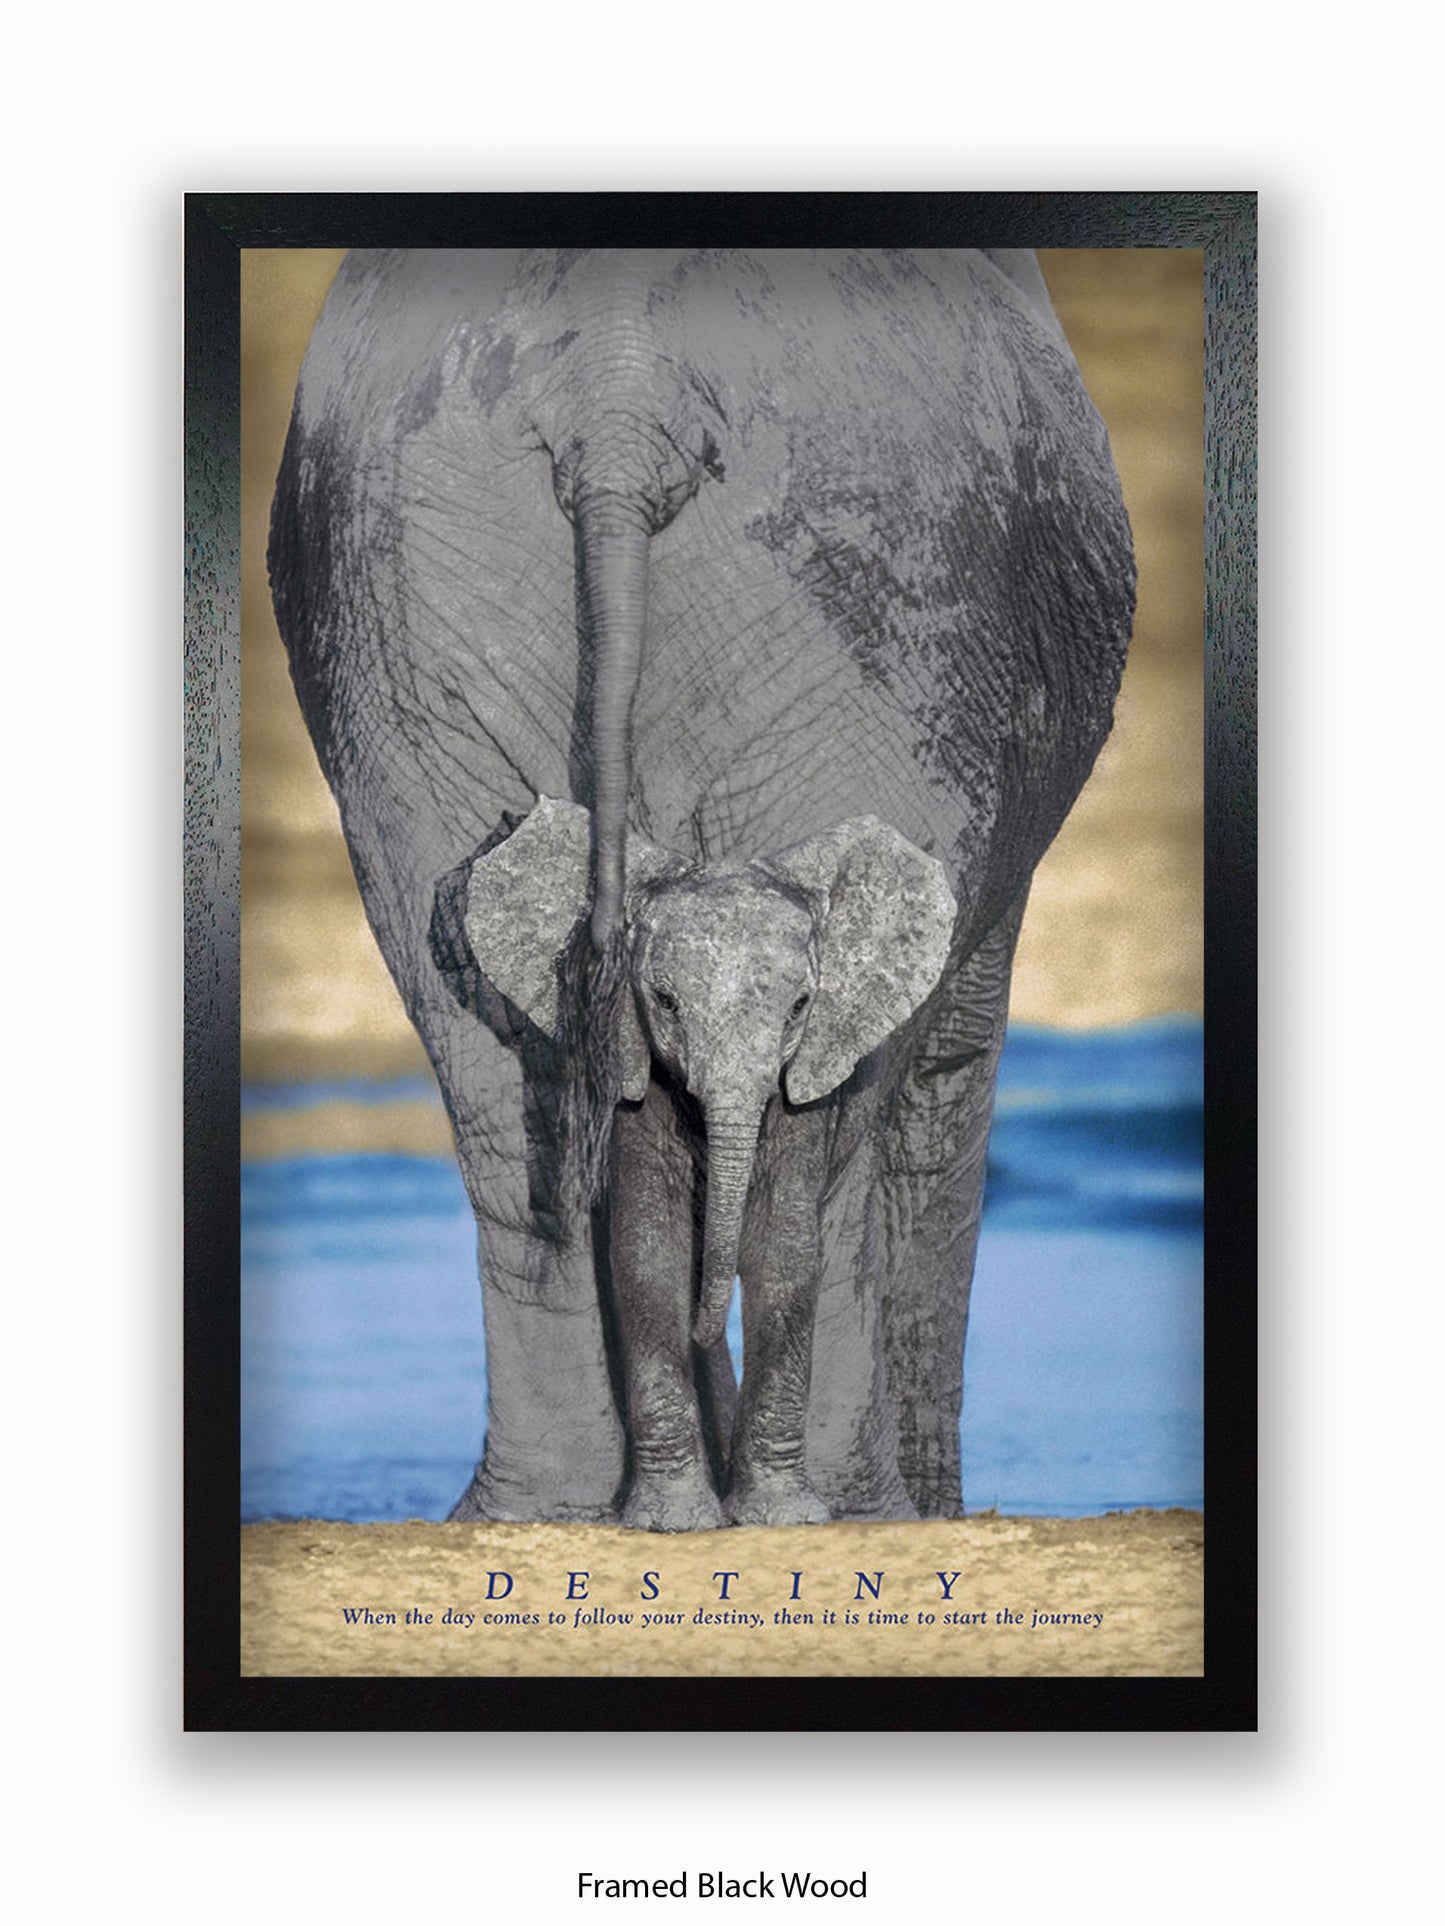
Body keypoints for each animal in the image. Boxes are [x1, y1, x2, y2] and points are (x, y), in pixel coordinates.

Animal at [267, 245, 1135, 1529]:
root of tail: (619, 397)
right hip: (889, 612)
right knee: (836, 1133)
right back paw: (847, 1510)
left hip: (397, 629)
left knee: (495, 1091)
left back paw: (547, 1511)